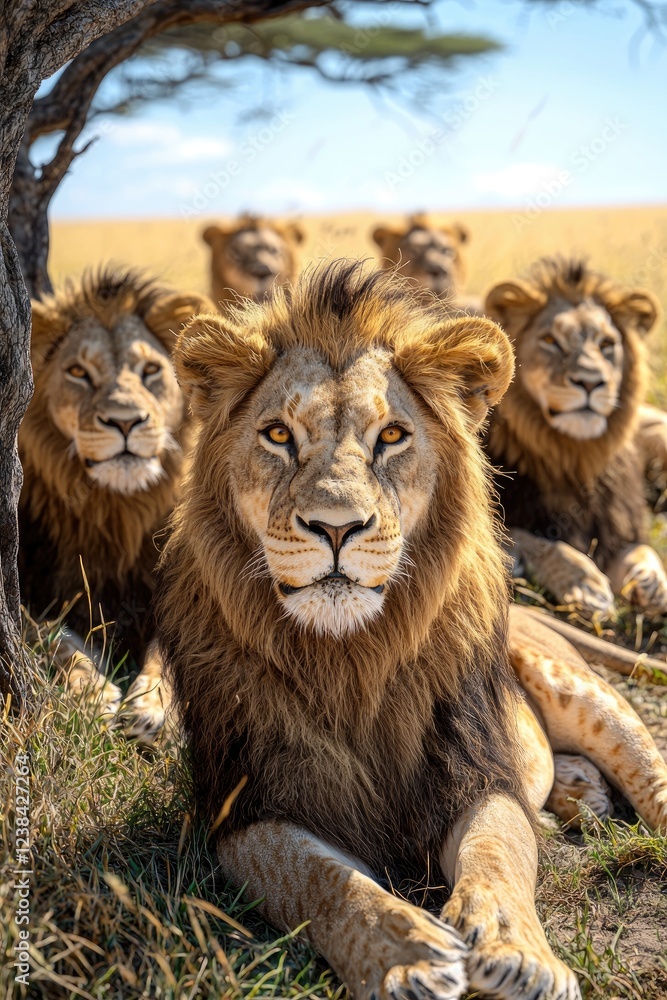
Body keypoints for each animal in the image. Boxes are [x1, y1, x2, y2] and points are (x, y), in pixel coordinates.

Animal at [19, 267, 212, 739]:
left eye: (150, 370)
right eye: (77, 371)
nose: (126, 422)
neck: (116, 512)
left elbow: (165, 652)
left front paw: (151, 708)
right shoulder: (30, 593)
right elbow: (53, 635)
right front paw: (92, 693)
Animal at [484, 256, 667, 617]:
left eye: (607, 345)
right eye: (550, 341)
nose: (590, 381)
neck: (573, 456)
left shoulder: (618, 526)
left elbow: (641, 549)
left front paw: (652, 580)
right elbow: (535, 539)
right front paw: (583, 583)